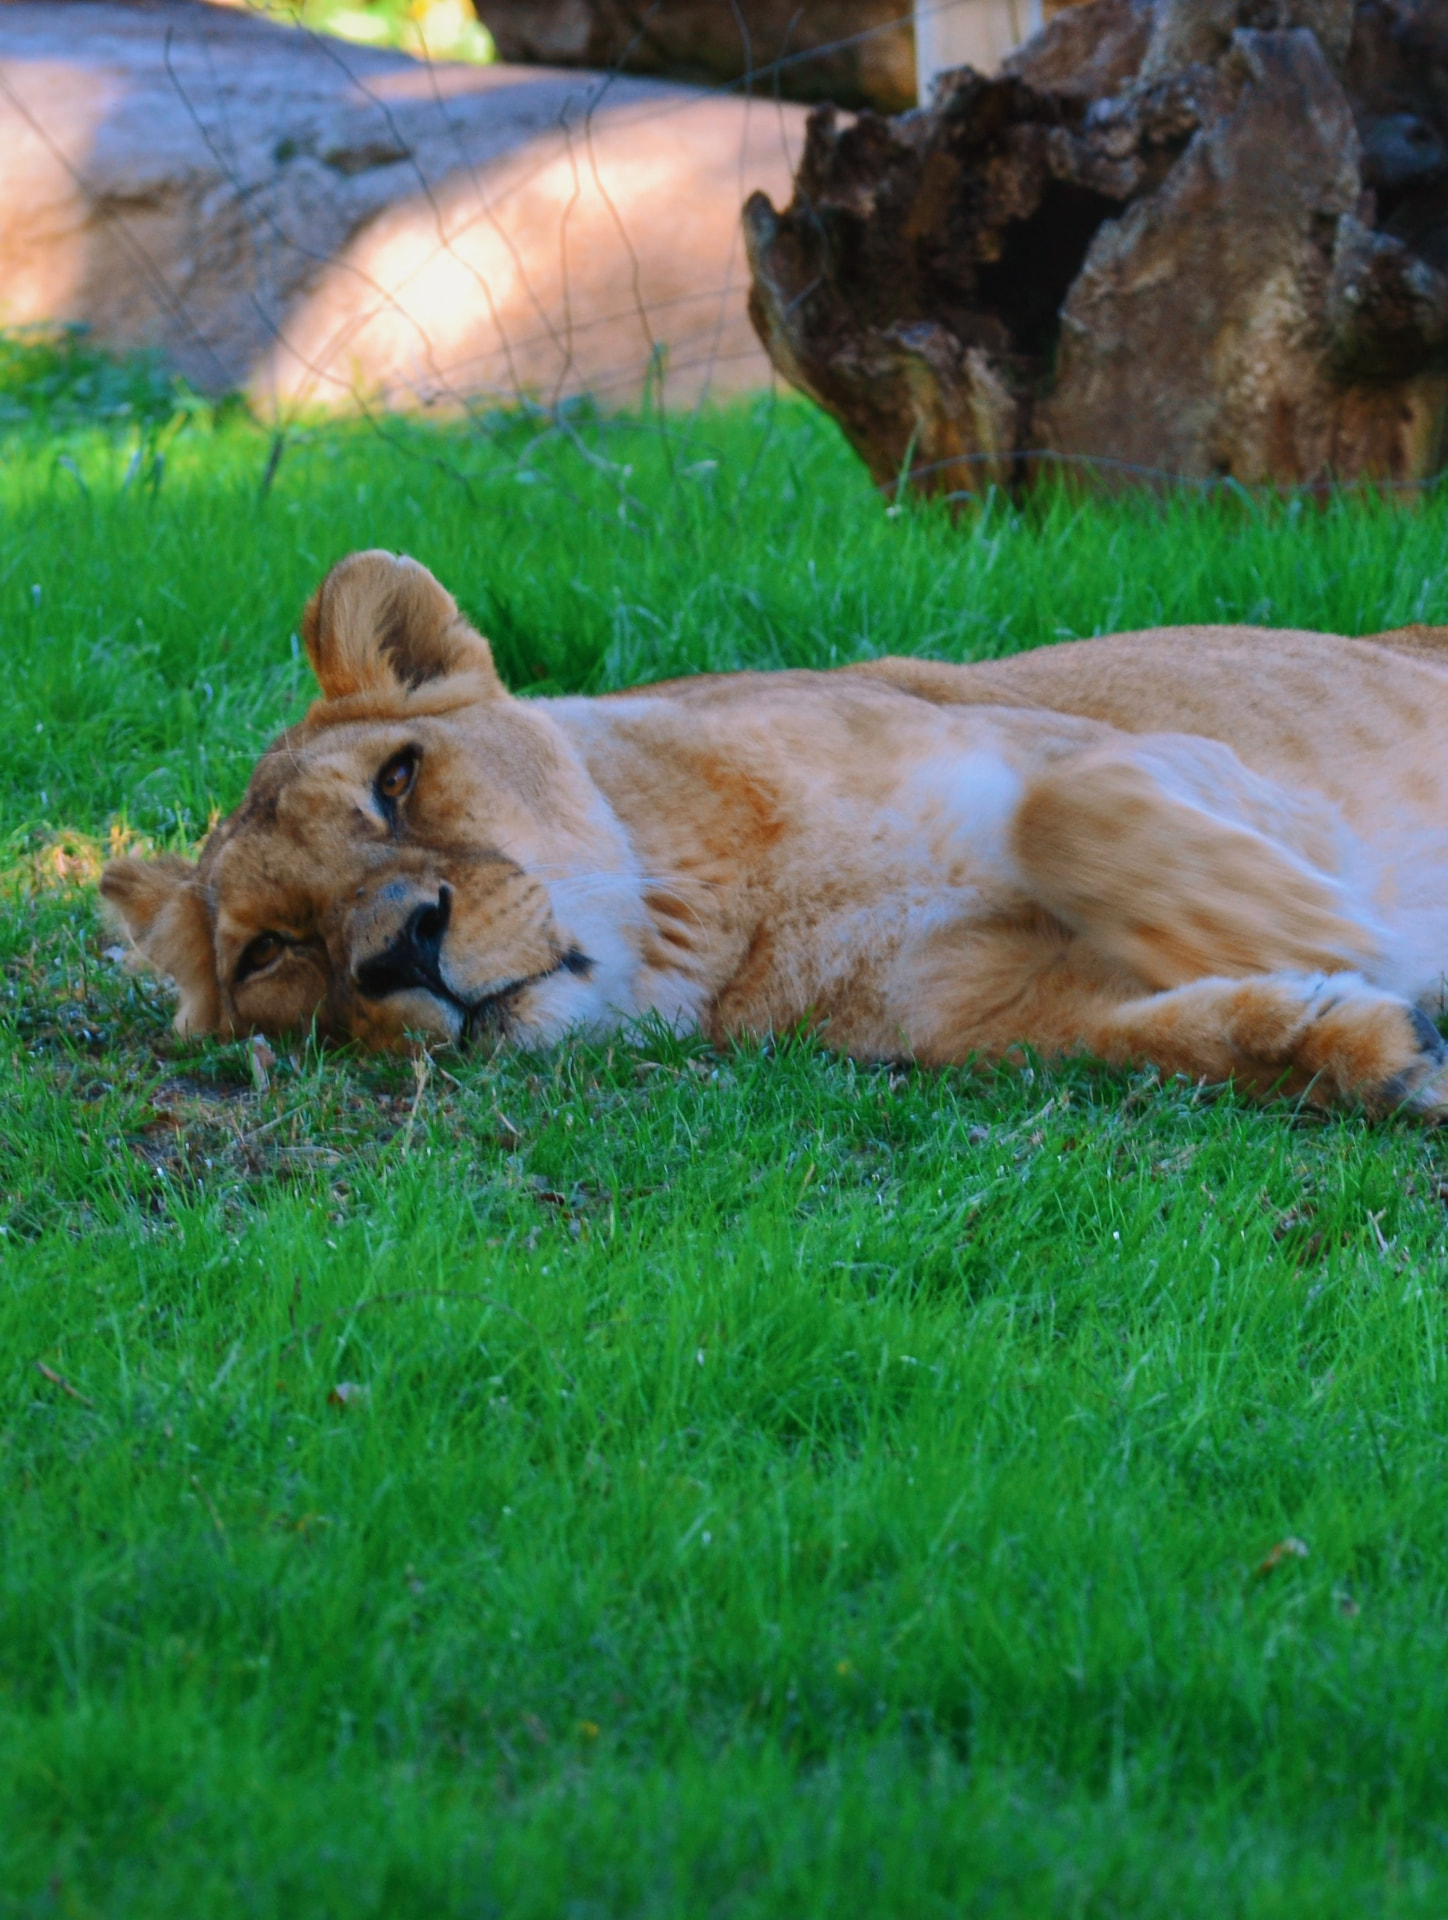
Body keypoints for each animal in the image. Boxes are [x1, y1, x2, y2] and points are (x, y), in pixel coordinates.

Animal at [100, 549, 1448, 1116]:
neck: (724, 916)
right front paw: (1369, 1045)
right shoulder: (991, 1014)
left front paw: (1318, 925)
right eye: (269, 952)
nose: (400, 952)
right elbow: (1165, 1038)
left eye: (396, 782)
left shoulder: (1147, 756)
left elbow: (1067, 816)